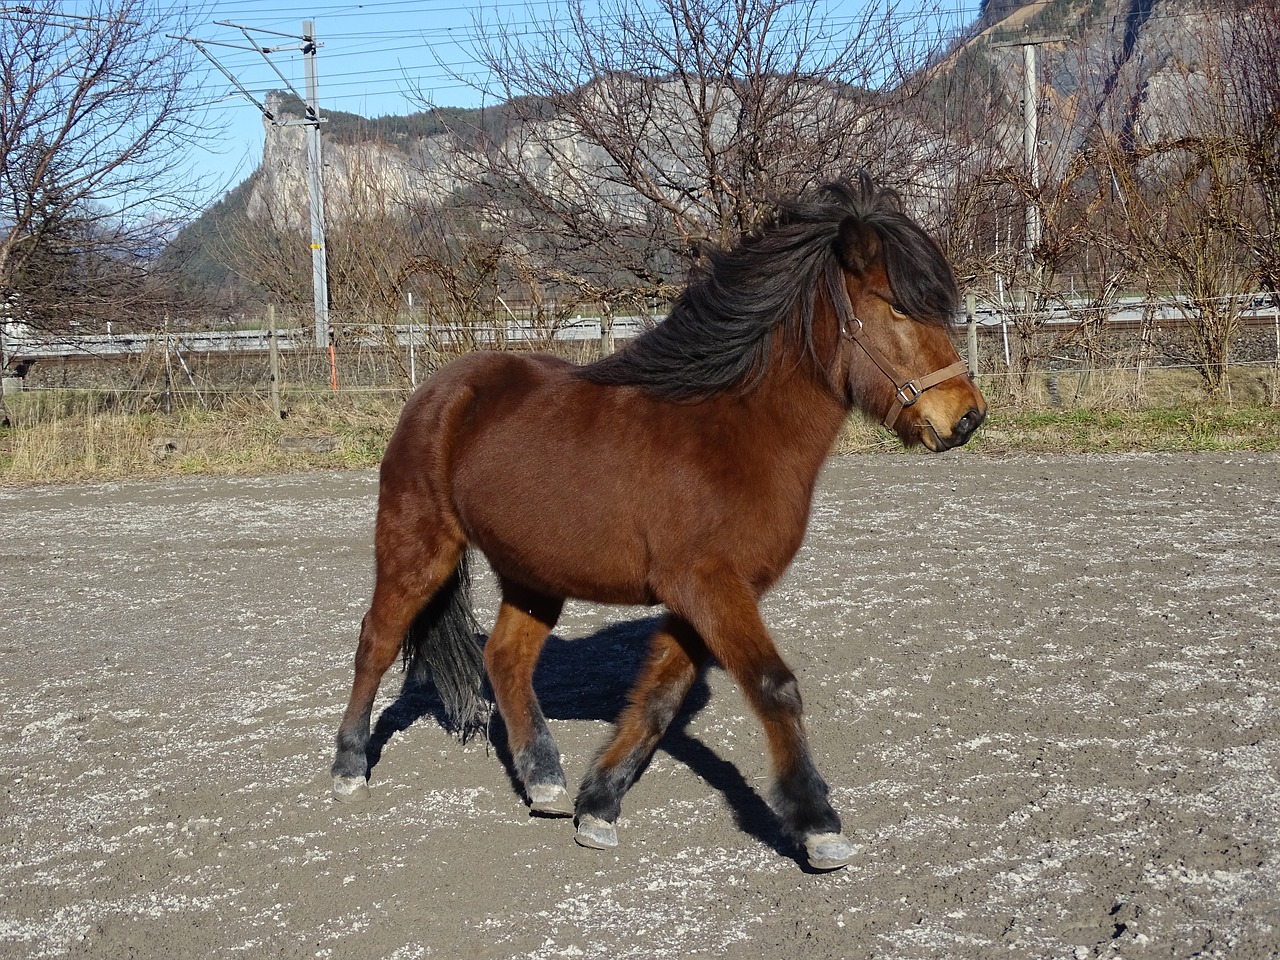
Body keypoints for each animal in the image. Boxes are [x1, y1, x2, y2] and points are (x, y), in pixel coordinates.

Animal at [327, 172, 977, 870]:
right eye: (899, 307)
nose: (967, 417)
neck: (735, 430)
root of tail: (438, 389)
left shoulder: (706, 595)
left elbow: (660, 698)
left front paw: (598, 805)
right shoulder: (708, 585)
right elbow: (774, 686)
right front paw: (817, 824)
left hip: (533, 575)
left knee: (504, 659)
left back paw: (544, 779)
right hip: (418, 548)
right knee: (376, 641)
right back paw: (348, 768)